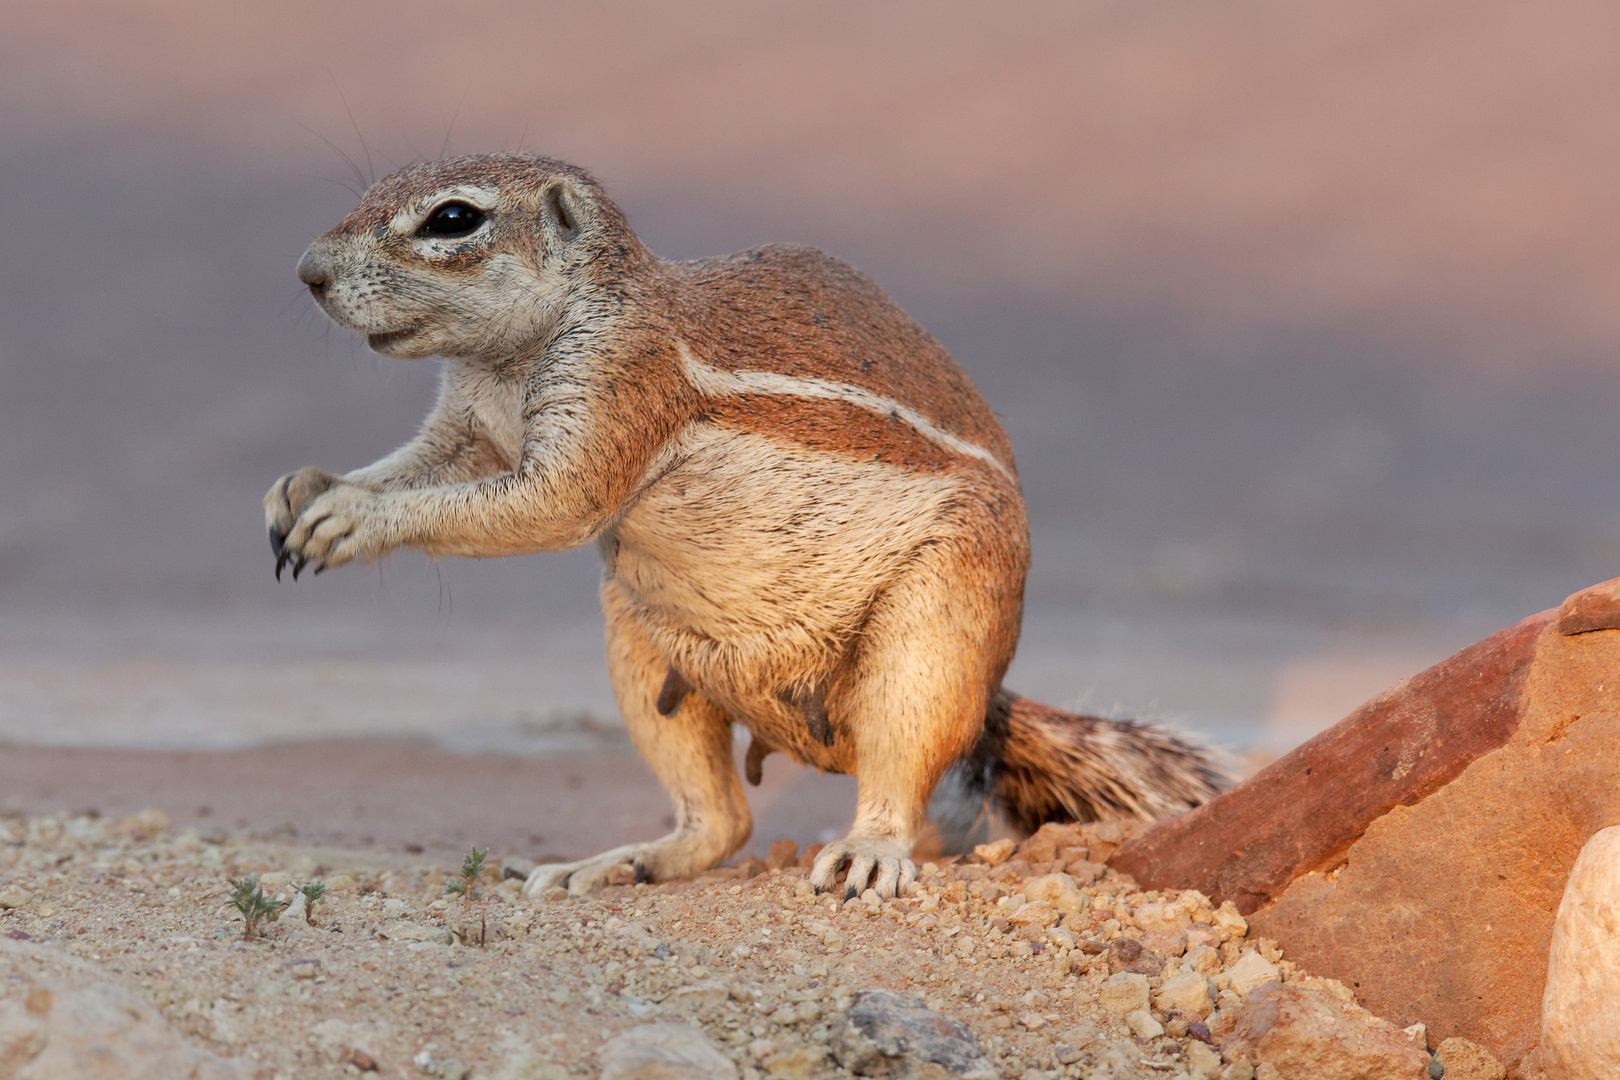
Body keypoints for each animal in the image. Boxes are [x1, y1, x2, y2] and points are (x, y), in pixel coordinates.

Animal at [268, 152, 1224, 893]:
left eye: (452, 219)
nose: (307, 272)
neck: (508, 362)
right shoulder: (462, 424)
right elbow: (420, 466)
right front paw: (304, 487)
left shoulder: (618, 389)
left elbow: (547, 503)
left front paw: (351, 516)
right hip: (643, 646)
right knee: (721, 823)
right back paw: (617, 863)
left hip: (935, 633)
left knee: (899, 769)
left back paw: (867, 851)